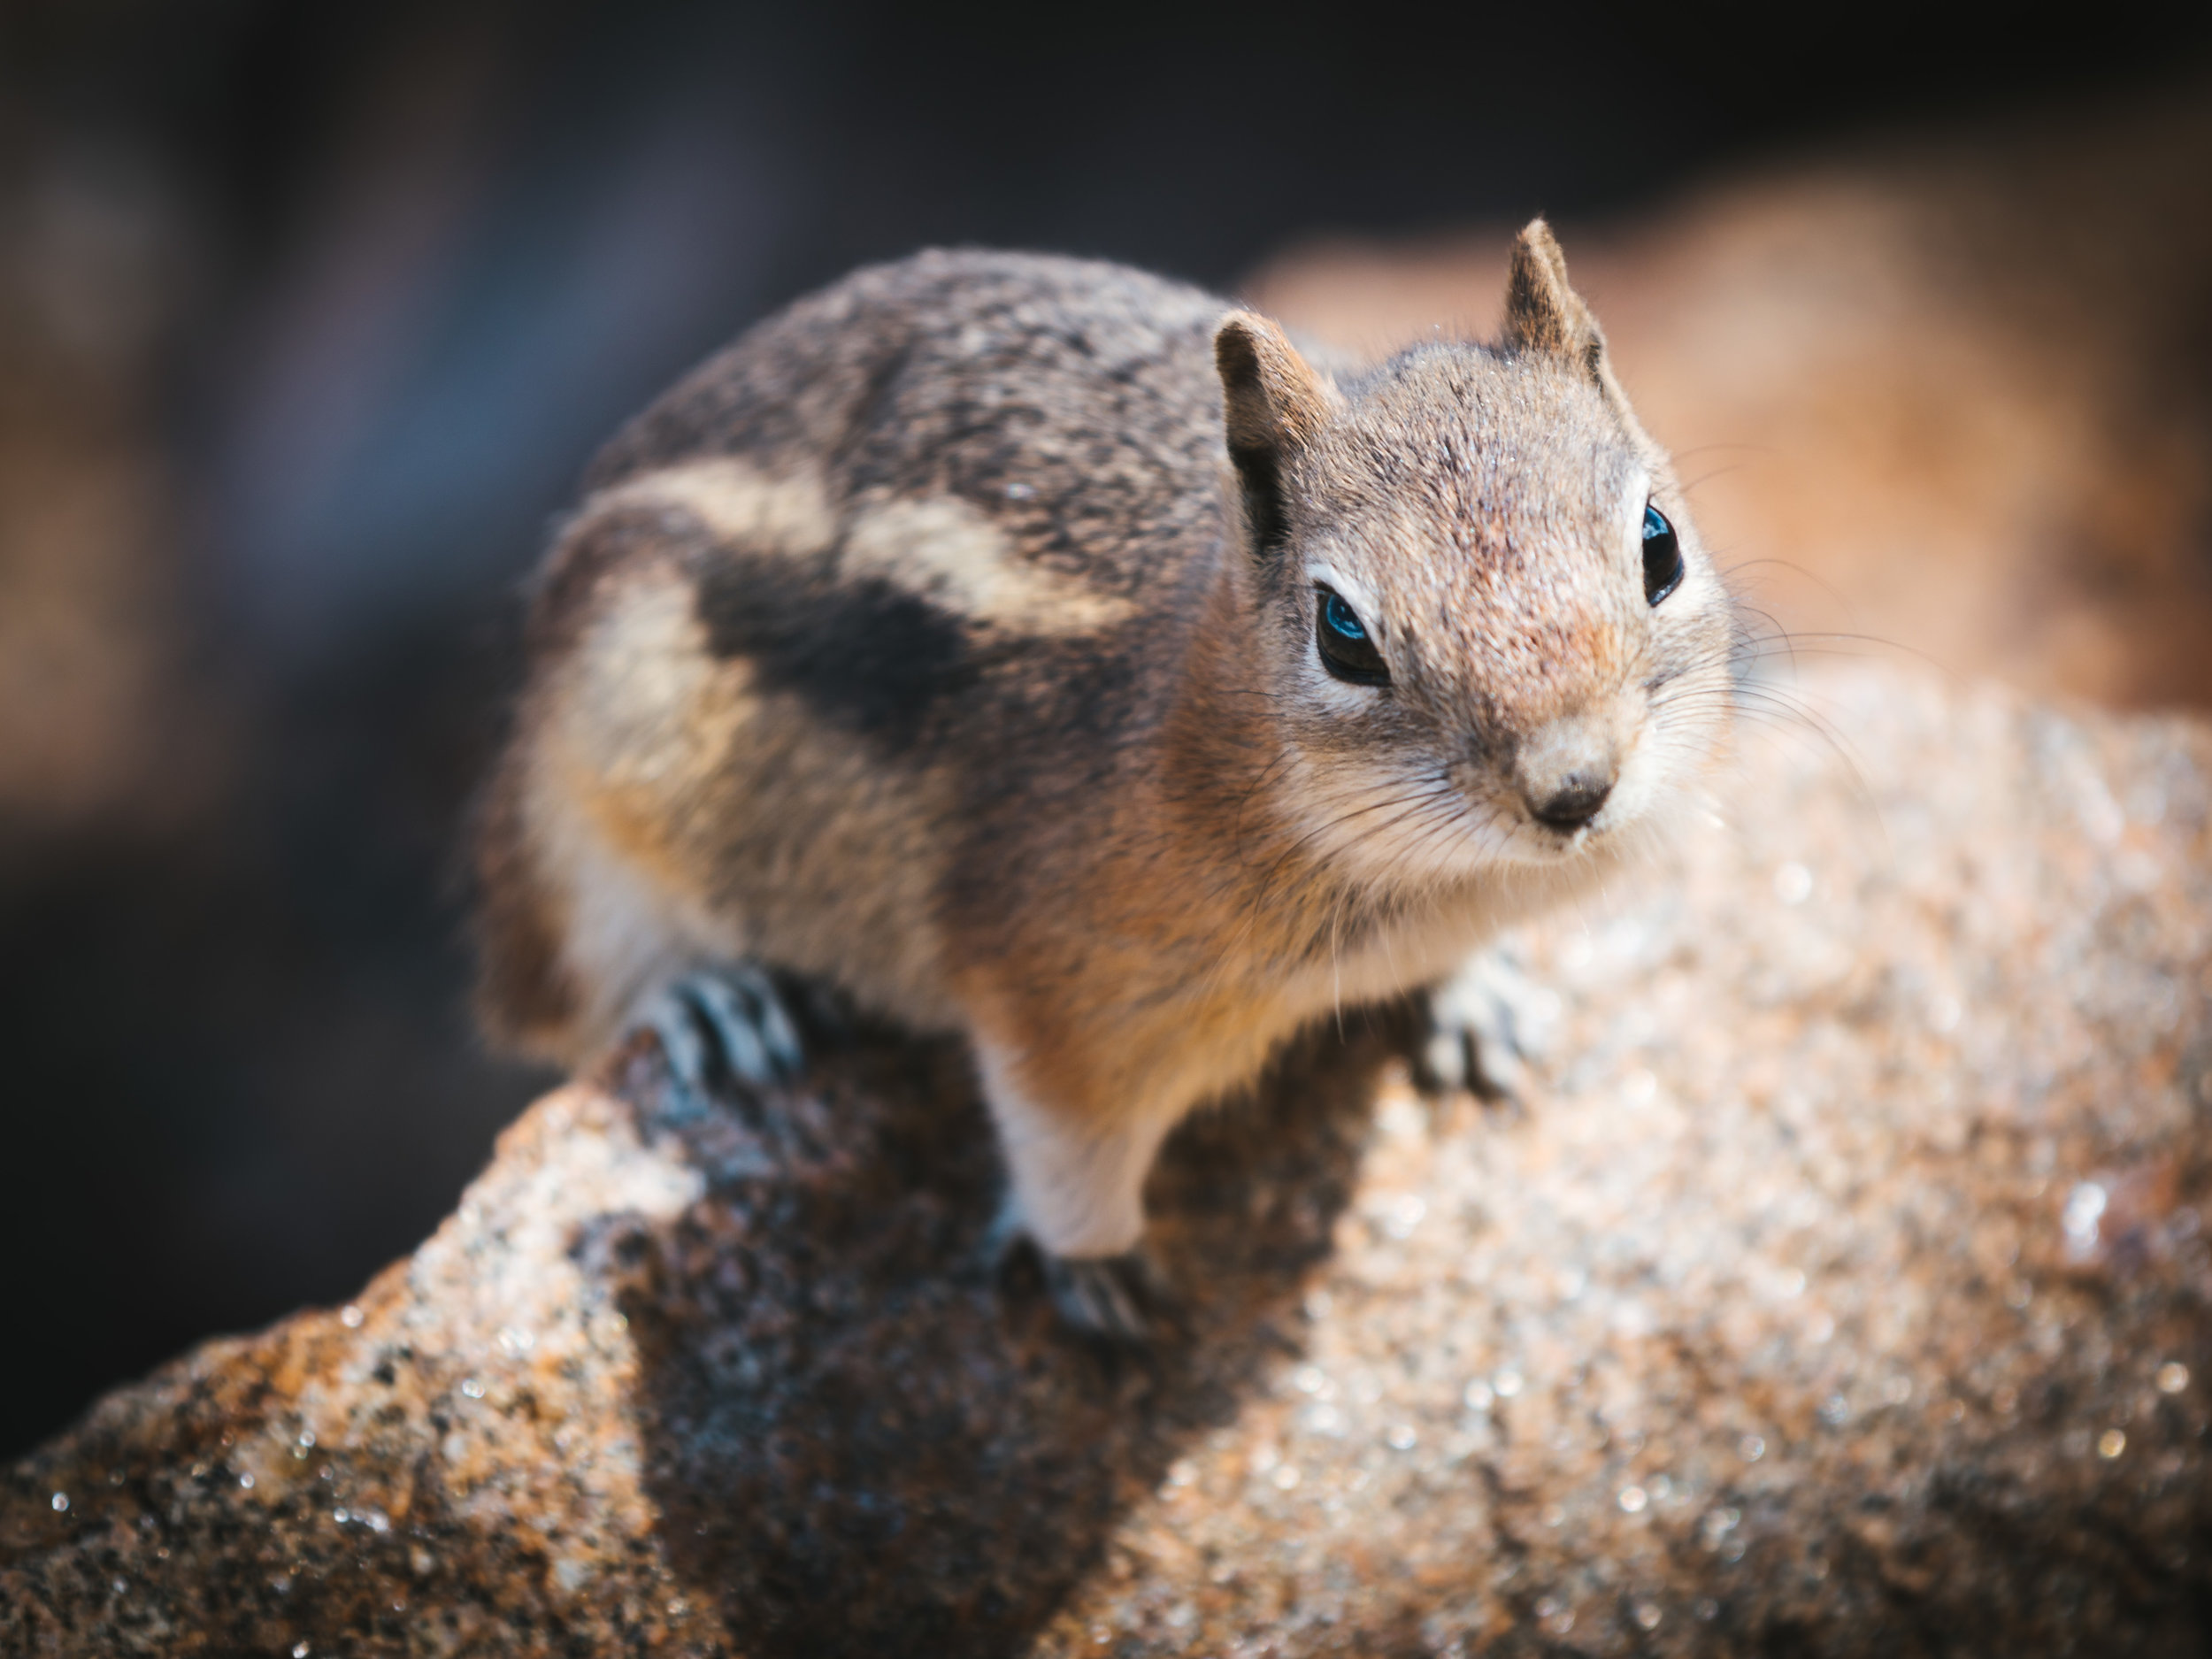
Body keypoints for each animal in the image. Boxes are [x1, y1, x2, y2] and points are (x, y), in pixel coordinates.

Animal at [475, 221, 1734, 1336]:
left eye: (1658, 543)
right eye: (1343, 634)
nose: (1573, 788)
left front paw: (1480, 996)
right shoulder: (1051, 983)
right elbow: (1061, 1143)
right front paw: (1098, 1270)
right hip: (584, 780)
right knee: (573, 978)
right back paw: (713, 998)